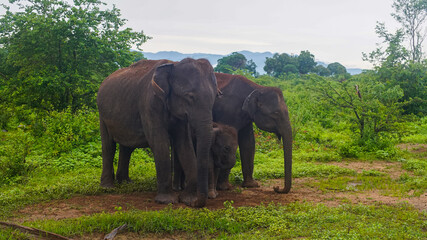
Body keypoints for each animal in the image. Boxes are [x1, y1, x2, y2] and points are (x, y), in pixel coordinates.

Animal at [96, 58, 217, 208]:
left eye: (215, 97)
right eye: (189, 96)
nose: (195, 203)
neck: (173, 65)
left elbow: (184, 144)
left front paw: (187, 199)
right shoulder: (149, 105)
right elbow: (159, 142)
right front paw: (167, 200)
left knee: (126, 148)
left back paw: (125, 183)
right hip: (102, 115)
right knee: (108, 146)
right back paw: (108, 187)